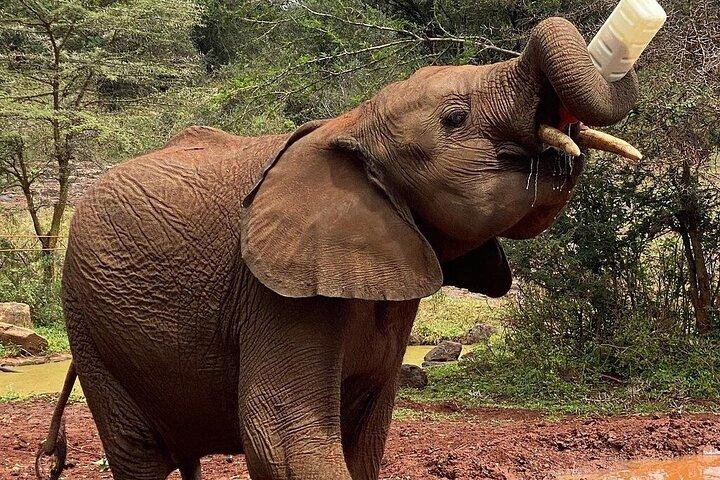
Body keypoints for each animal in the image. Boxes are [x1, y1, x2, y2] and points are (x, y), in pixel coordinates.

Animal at [36, 17, 641, 480]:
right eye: (455, 117)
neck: (353, 121)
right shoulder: (274, 292)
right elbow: (284, 438)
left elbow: (367, 439)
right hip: (88, 319)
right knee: (139, 454)